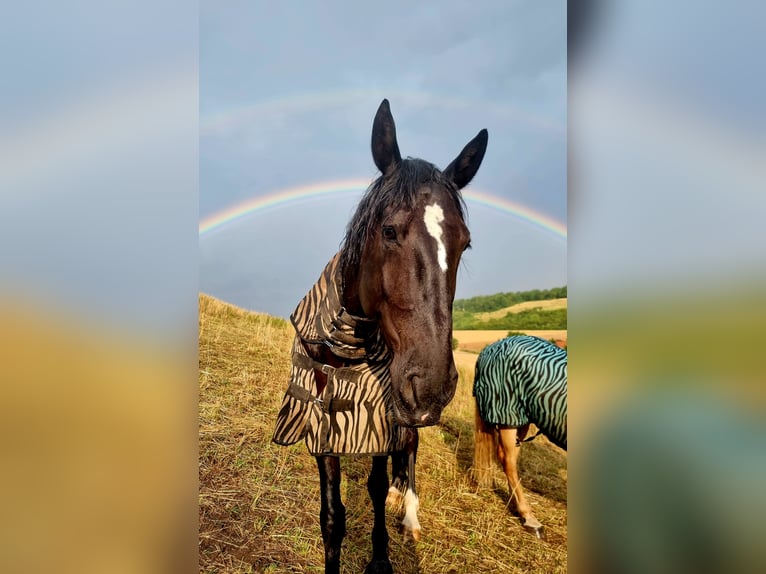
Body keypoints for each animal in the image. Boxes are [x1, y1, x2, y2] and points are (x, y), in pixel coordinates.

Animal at [272, 99, 488, 573]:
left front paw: (382, 557)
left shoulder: (382, 417)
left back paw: (408, 513)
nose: (432, 386)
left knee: (409, 454)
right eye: (389, 231)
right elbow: (332, 515)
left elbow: (374, 484)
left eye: (464, 244)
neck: (348, 347)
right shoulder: (322, 420)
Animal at [472, 335, 567, 539]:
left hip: (522, 420)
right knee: (508, 461)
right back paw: (528, 517)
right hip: (508, 414)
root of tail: (491, 347)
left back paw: (515, 505)